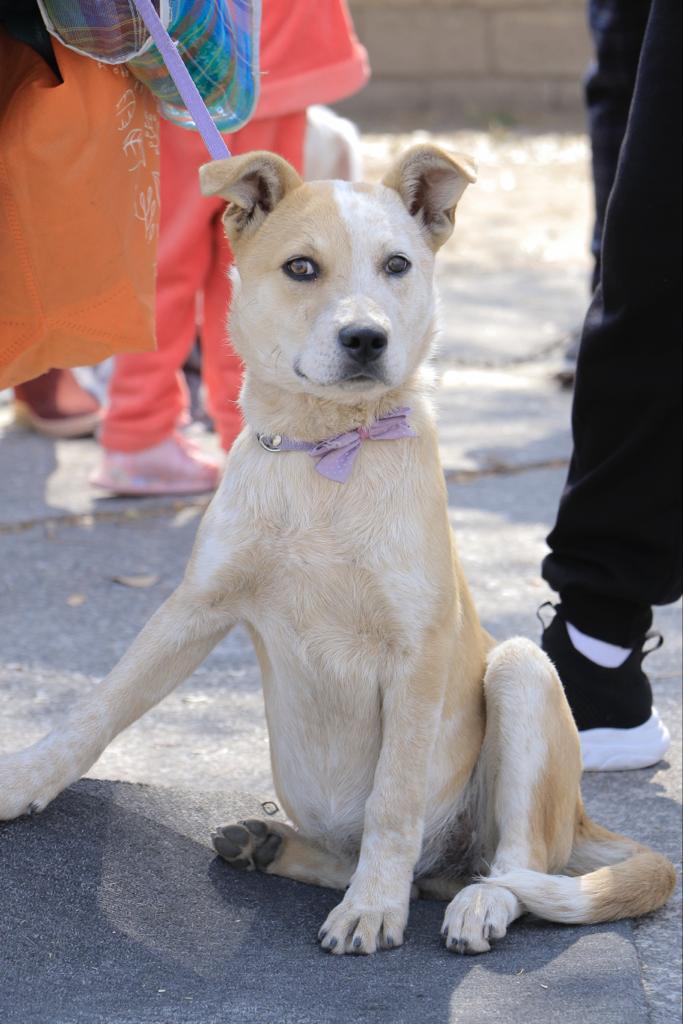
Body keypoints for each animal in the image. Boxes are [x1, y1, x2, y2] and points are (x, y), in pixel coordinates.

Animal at [0, 144, 671, 950]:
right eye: (300, 268)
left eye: (397, 265)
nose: (365, 339)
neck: (326, 455)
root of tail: (581, 817)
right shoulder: (194, 605)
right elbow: (99, 705)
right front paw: (25, 778)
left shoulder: (418, 652)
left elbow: (394, 798)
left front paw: (372, 906)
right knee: (410, 867)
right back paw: (269, 845)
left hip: (520, 673)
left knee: (513, 865)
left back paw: (478, 901)